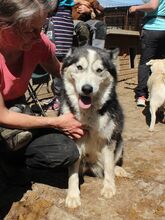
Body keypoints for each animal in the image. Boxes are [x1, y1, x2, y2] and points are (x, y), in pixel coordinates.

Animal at [60, 46, 127, 208]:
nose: (87, 89)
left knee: (112, 163)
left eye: (99, 70)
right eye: (79, 67)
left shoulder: (108, 140)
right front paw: (73, 195)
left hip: (119, 139)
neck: (88, 114)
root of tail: (92, 166)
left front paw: (109, 187)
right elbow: (73, 173)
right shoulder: (75, 140)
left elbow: (109, 167)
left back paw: (118, 169)